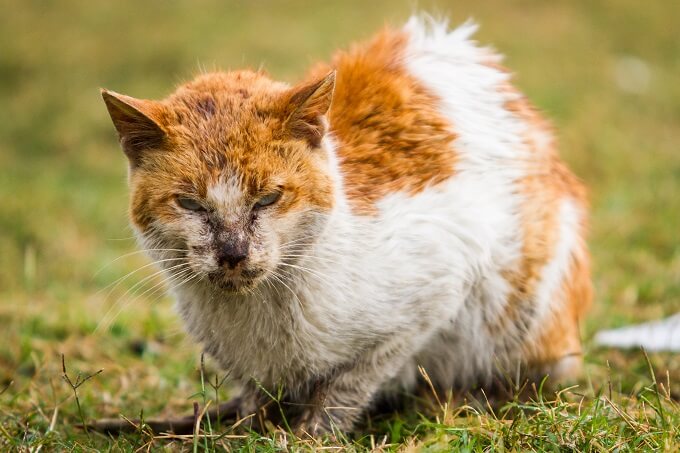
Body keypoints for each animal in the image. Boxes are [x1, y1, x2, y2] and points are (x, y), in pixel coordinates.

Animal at [99, 16, 588, 434]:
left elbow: (348, 384)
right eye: (189, 203)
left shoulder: (435, 287)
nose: (233, 253)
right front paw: (250, 424)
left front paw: (312, 433)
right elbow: (254, 390)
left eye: (269, 198)